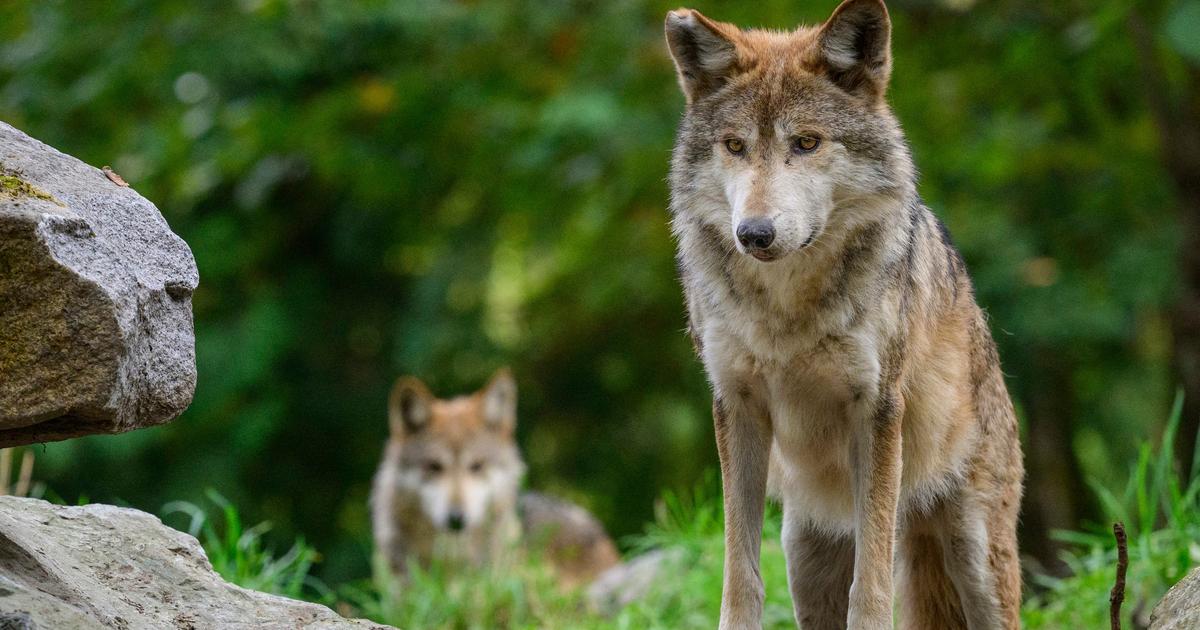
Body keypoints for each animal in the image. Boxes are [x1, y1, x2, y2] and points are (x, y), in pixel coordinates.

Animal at [664, 1, 1023, 628]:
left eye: (807, 143)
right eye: (734, 146)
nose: (754, 234)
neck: (786, 309)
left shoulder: (876, 412)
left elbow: (871, 585)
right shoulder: (737, 408)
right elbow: (739, 576)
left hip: (977, 561)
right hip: (806, 564)